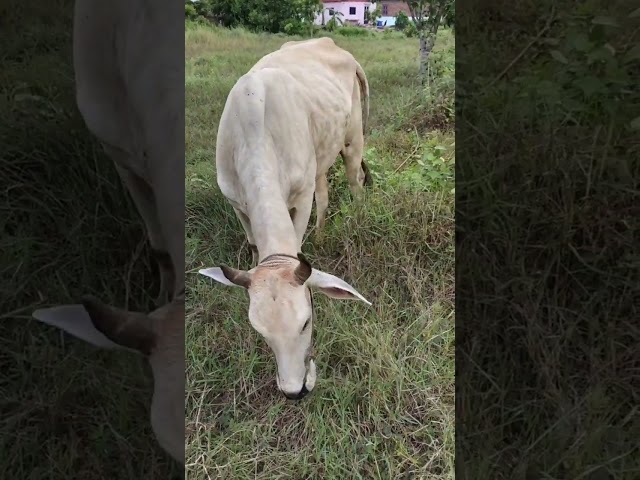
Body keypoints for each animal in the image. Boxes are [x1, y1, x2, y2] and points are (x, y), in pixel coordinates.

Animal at [199, 37, 370, 400]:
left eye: (306, 322)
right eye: (259, 331)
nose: (294, 391)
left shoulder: (301, 198)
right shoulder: (237, 204)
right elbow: (253, 246)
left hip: (353, 140)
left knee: (355, 180)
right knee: (325, 192)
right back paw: (321, 235)